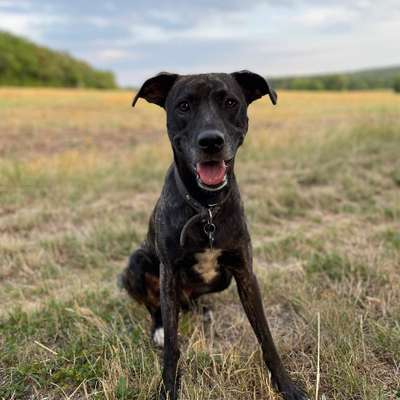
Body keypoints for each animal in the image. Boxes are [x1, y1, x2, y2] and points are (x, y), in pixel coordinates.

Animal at [119, 72, 310, 400]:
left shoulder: (244, 272)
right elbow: (172, 346)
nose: (211, 141)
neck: (206, 208)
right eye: (183, 106)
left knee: (190, 302)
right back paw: (159, 327)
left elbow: (266, 337)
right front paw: (168, 388)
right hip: (138, 262)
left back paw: (202, 311)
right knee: (156, 306)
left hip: (221, 279)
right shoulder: (169, 271)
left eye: (231, 102)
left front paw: (286, 385)